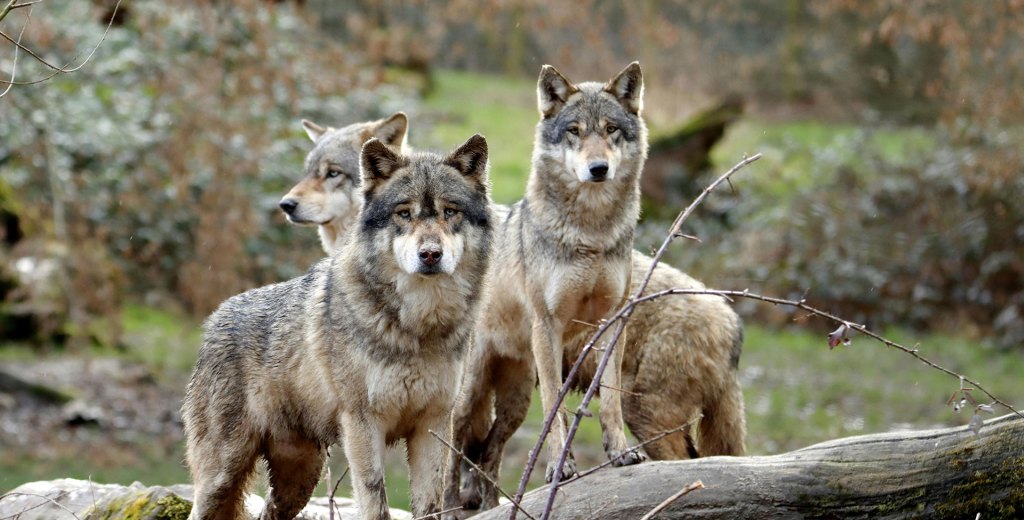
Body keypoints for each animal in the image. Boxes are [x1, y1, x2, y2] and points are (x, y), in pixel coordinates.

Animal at [182, 134, 494, 520]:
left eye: (450, 211)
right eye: (403, 213)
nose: (430, 255)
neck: (417, 326)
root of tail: (214, 318)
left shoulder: (433, 424)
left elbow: (429, 506)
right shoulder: (363, 425)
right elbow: (375, 502)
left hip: (299, 479)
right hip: (221, 478)